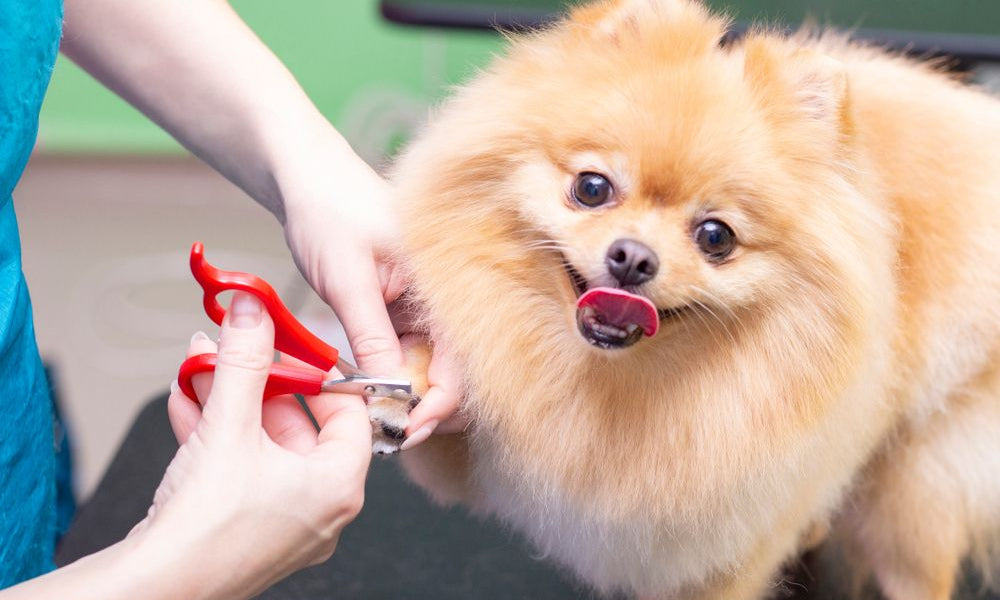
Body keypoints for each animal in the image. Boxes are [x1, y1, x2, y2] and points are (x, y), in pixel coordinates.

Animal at [380, 2, 1000, 596]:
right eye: (592, 188)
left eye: (715, 237)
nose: (633, 257)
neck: (605, 381)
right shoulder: (470, 455)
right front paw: (404, 379)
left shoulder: (723, 548)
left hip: (918, 488)